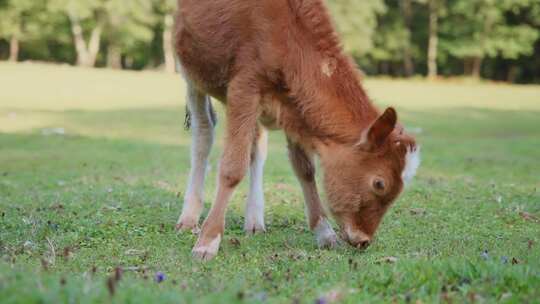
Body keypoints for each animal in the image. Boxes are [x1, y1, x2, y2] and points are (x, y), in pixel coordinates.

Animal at [175, 0, 420, 262]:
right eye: (379, 183)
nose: (364, 240)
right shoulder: (244, 87)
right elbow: (233, 168)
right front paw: (208, 241)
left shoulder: (294, 105)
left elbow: (305, 169)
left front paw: (324, 233)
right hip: (192, 73)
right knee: (204, 132)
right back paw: (189, 218)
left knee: (257, 146)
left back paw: (254, 220)